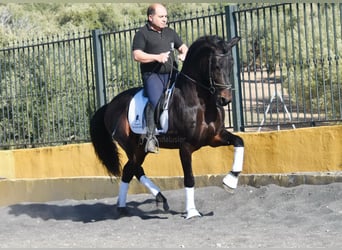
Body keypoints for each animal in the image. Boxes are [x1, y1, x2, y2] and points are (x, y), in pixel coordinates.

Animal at [89, 34, 243, 219]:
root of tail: (109, 105)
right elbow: (189, 178)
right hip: (134, 147)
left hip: (137, 149)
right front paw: (192, 212)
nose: (225, 99)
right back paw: (152, 200)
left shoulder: (215, 137)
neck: (200, 102)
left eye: (231, 63)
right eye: (216, 66)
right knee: (133, 169)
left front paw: (231, 181)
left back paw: (127, 206)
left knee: (129, 170)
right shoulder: (185, 146)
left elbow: (240, 142)